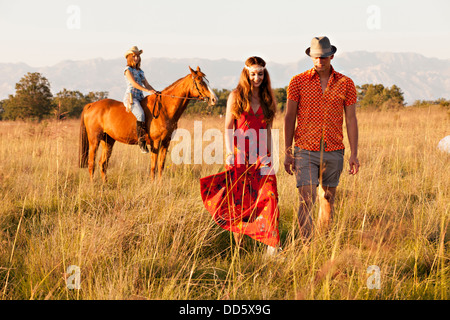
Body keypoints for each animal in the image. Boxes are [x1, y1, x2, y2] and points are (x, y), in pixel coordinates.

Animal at [78, 66, 218, 181]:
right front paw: (153, 185)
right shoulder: (155, 143)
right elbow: (153, 167)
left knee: (103, 163)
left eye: (207, 80)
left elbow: (161, 166)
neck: (164, 109)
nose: (214, 99)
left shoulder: (165, 143)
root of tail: (92, 105)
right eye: (200, 81)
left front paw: (160, 185)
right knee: (91, 163)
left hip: (108, 141)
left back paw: (104, 185)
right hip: (94, 140)